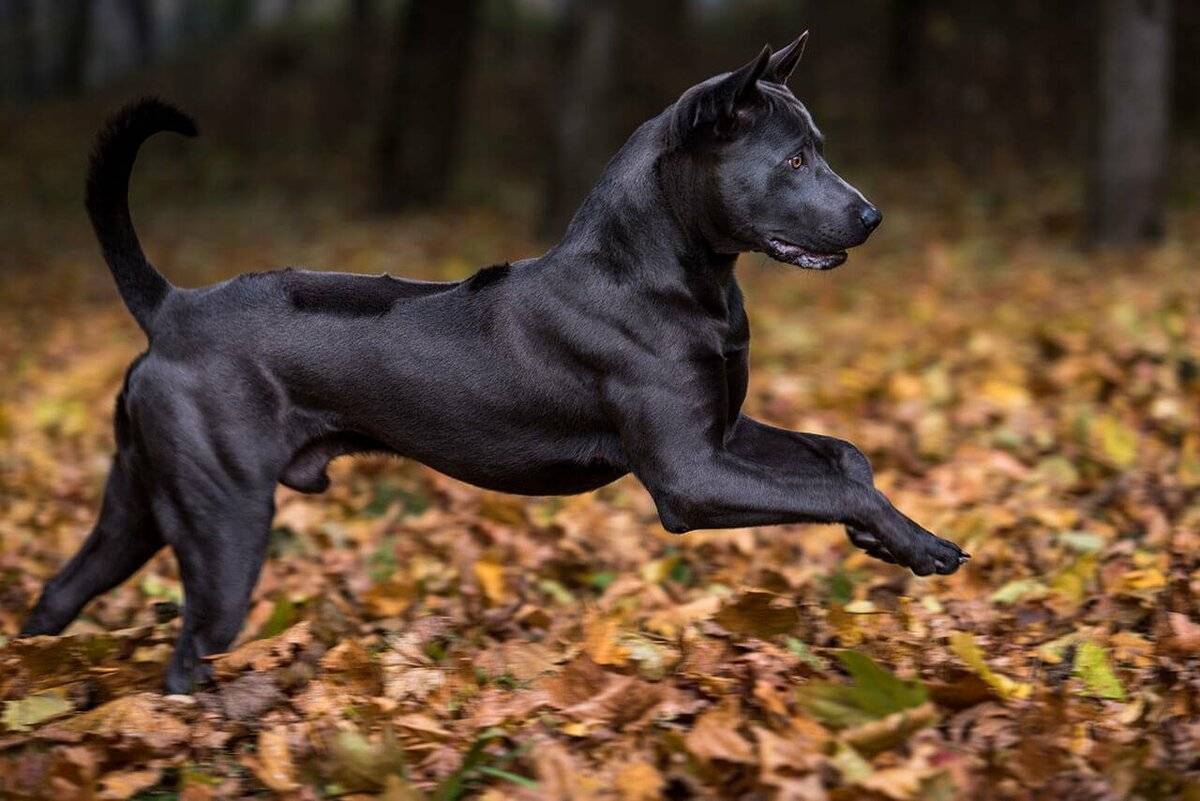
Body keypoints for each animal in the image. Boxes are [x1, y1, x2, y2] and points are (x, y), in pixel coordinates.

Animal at [21, 34, 964, 690]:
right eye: (794, 158)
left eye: (819, 146)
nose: (873, 216)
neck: (666, 268)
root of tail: (172, 307)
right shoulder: (689, 474)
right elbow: (834, 485)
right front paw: (922, 543)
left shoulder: (721, 433)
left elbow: (842, 458)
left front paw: (883, 534)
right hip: (225, 519)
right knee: (189, 647)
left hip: (140, 503)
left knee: (58, 594)